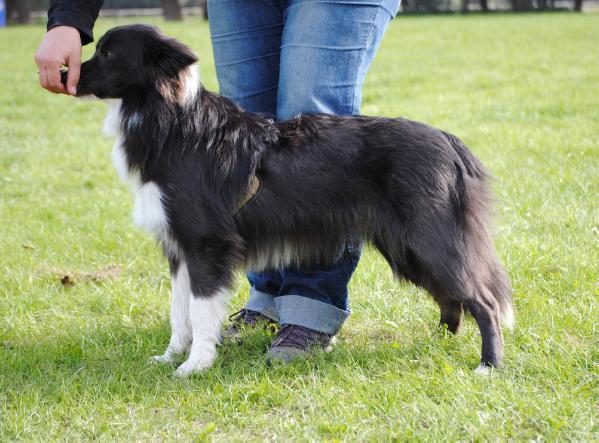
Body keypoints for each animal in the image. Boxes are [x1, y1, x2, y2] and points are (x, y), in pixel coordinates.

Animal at [69, 24, 510, 378]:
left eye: (109, 54)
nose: (64, 74)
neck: (171, 122)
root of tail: (450, 142)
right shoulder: (178, 247)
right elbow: (180, 311)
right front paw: (169, 357)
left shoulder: (207, 245)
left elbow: (200, 310)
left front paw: (194, 366)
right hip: (407, 246)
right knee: (450, 295)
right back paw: (439, 342)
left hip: (428, 238)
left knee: (484, 301)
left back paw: (487, 366)